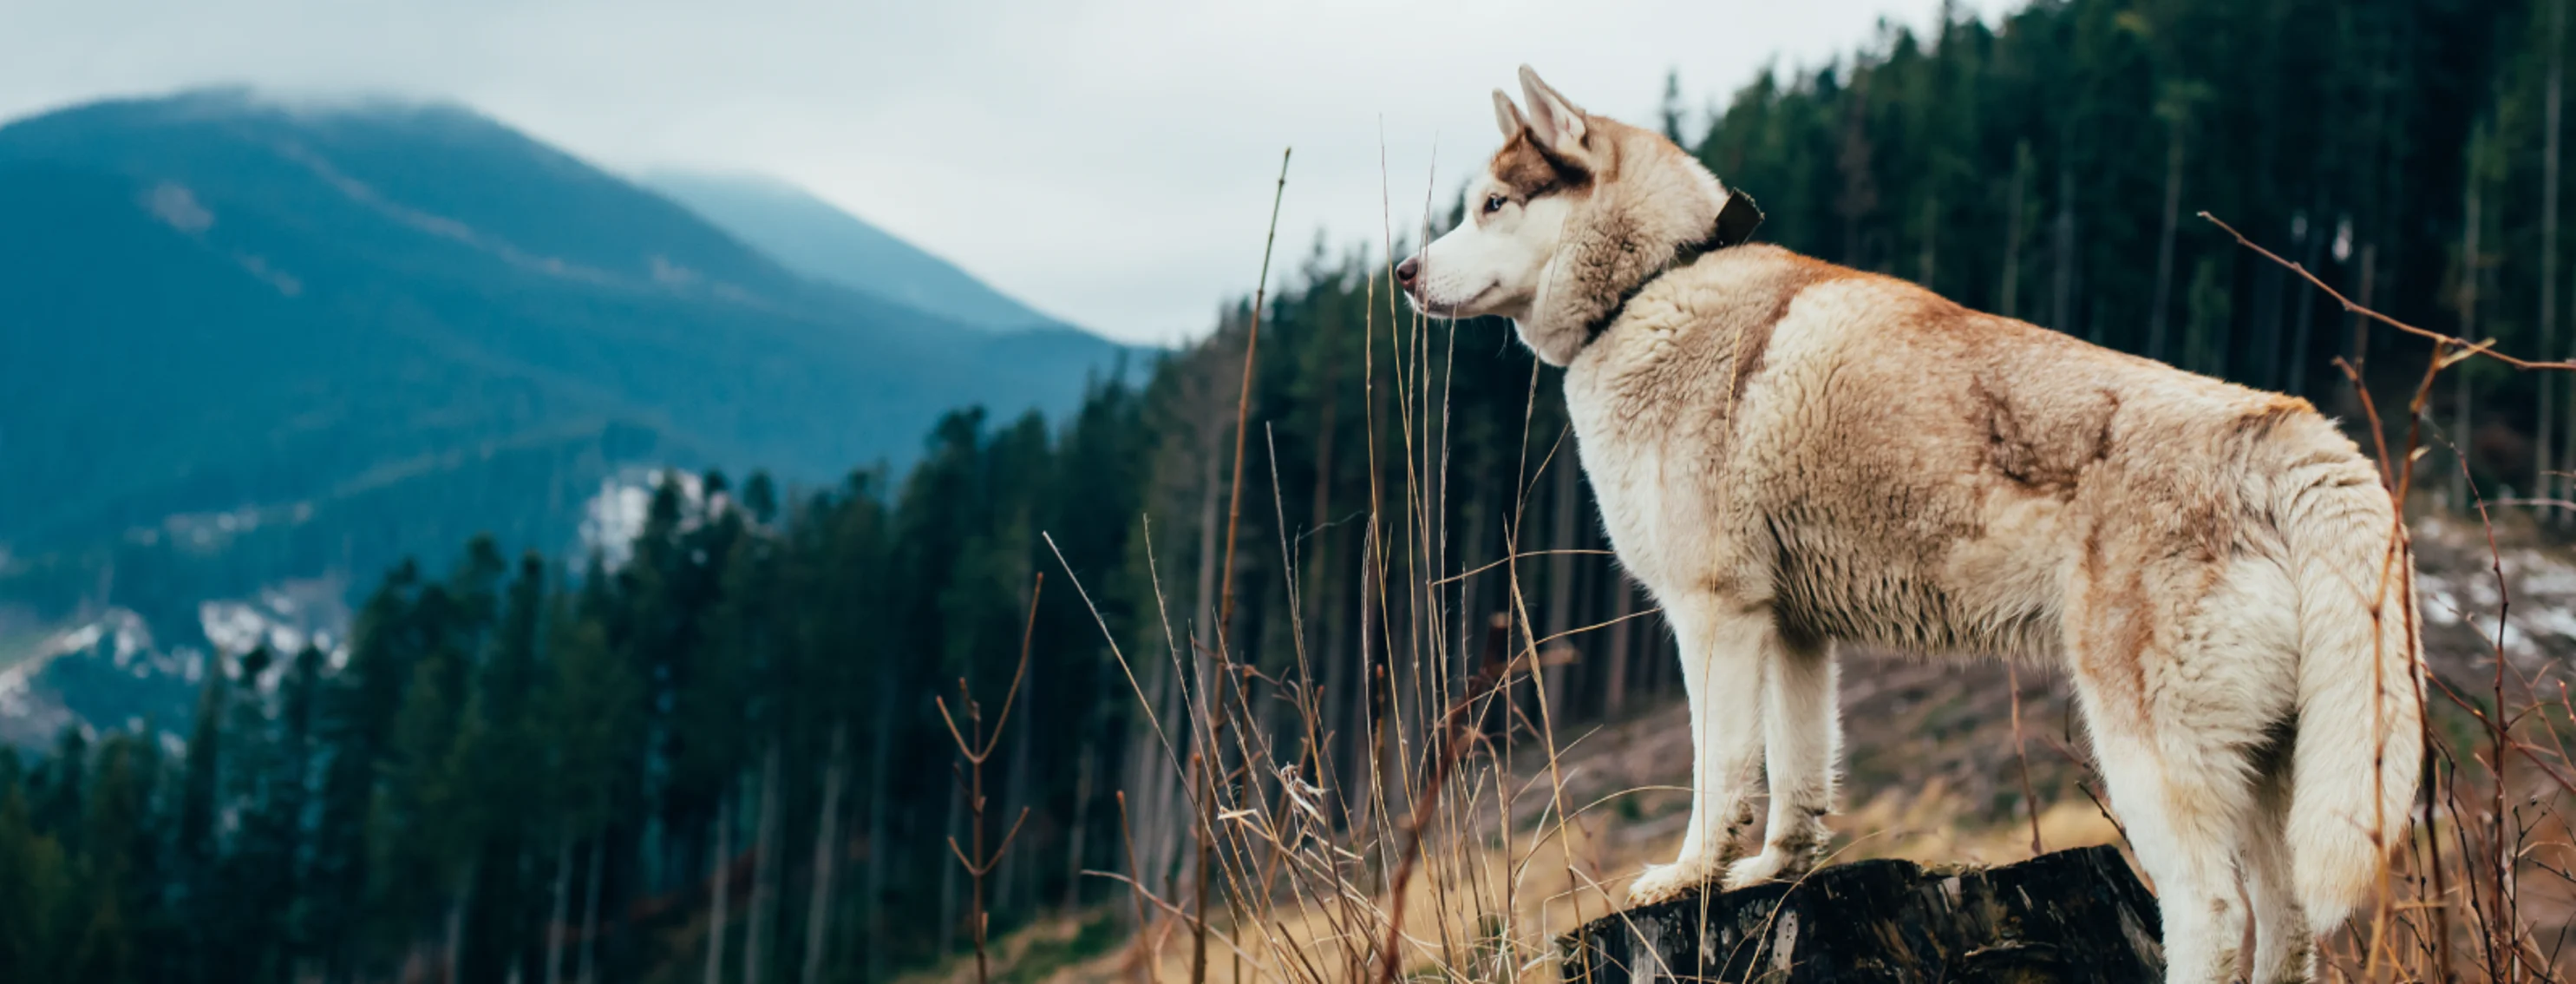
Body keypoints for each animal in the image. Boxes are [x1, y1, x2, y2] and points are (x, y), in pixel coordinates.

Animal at [1401, 65, 2421, 979]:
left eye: (1492, 203)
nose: (1404, 271)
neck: (1654, 283)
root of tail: (2284, 430)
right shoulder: (1793, 633)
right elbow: (1799, 782)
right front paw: (1770, 872)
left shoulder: (1713, 613)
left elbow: (1717, 777)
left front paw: (1690, 876)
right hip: (2266, 770)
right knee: (2287, 924)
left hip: (2153, 756)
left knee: (2212, 911)